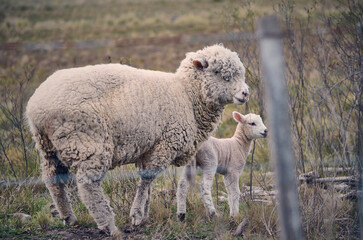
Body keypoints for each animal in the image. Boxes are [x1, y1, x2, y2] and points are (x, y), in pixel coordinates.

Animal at [26, 44, 250, 236]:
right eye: (223, 75)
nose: (246, 93)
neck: (187, 95)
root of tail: (37, 107)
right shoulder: (165, 144)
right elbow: (147, 179)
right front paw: (136, 215)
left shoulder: (149, 147)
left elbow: (148, 184)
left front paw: (144, 214)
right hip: (88, 141)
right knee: (88, 185)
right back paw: (109, 225)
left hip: (48, 146)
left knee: (53, 179)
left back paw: (68, 217)